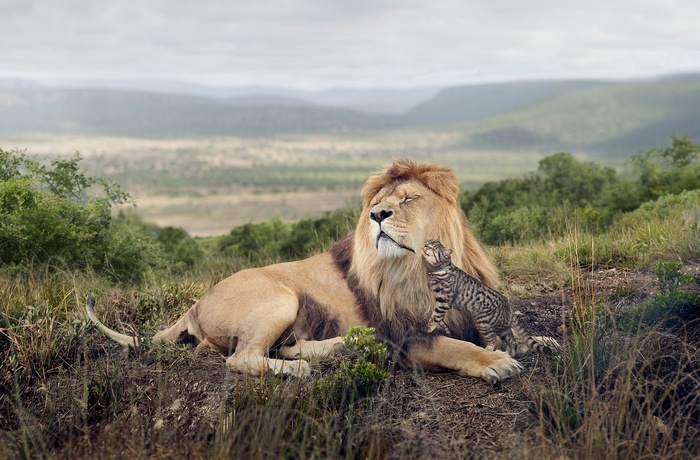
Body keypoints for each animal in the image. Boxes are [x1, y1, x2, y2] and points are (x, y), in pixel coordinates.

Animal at [87, 158, 522, 383]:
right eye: (376, 203)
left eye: (410, 199)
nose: (377, 215)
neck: (416, 267)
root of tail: (194, 305)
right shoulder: (404, 337)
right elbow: (452, 346)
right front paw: (495, 362)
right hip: (281, 298)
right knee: (243, 358)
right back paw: (301, 368)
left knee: (281, 347)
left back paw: (343, 346)